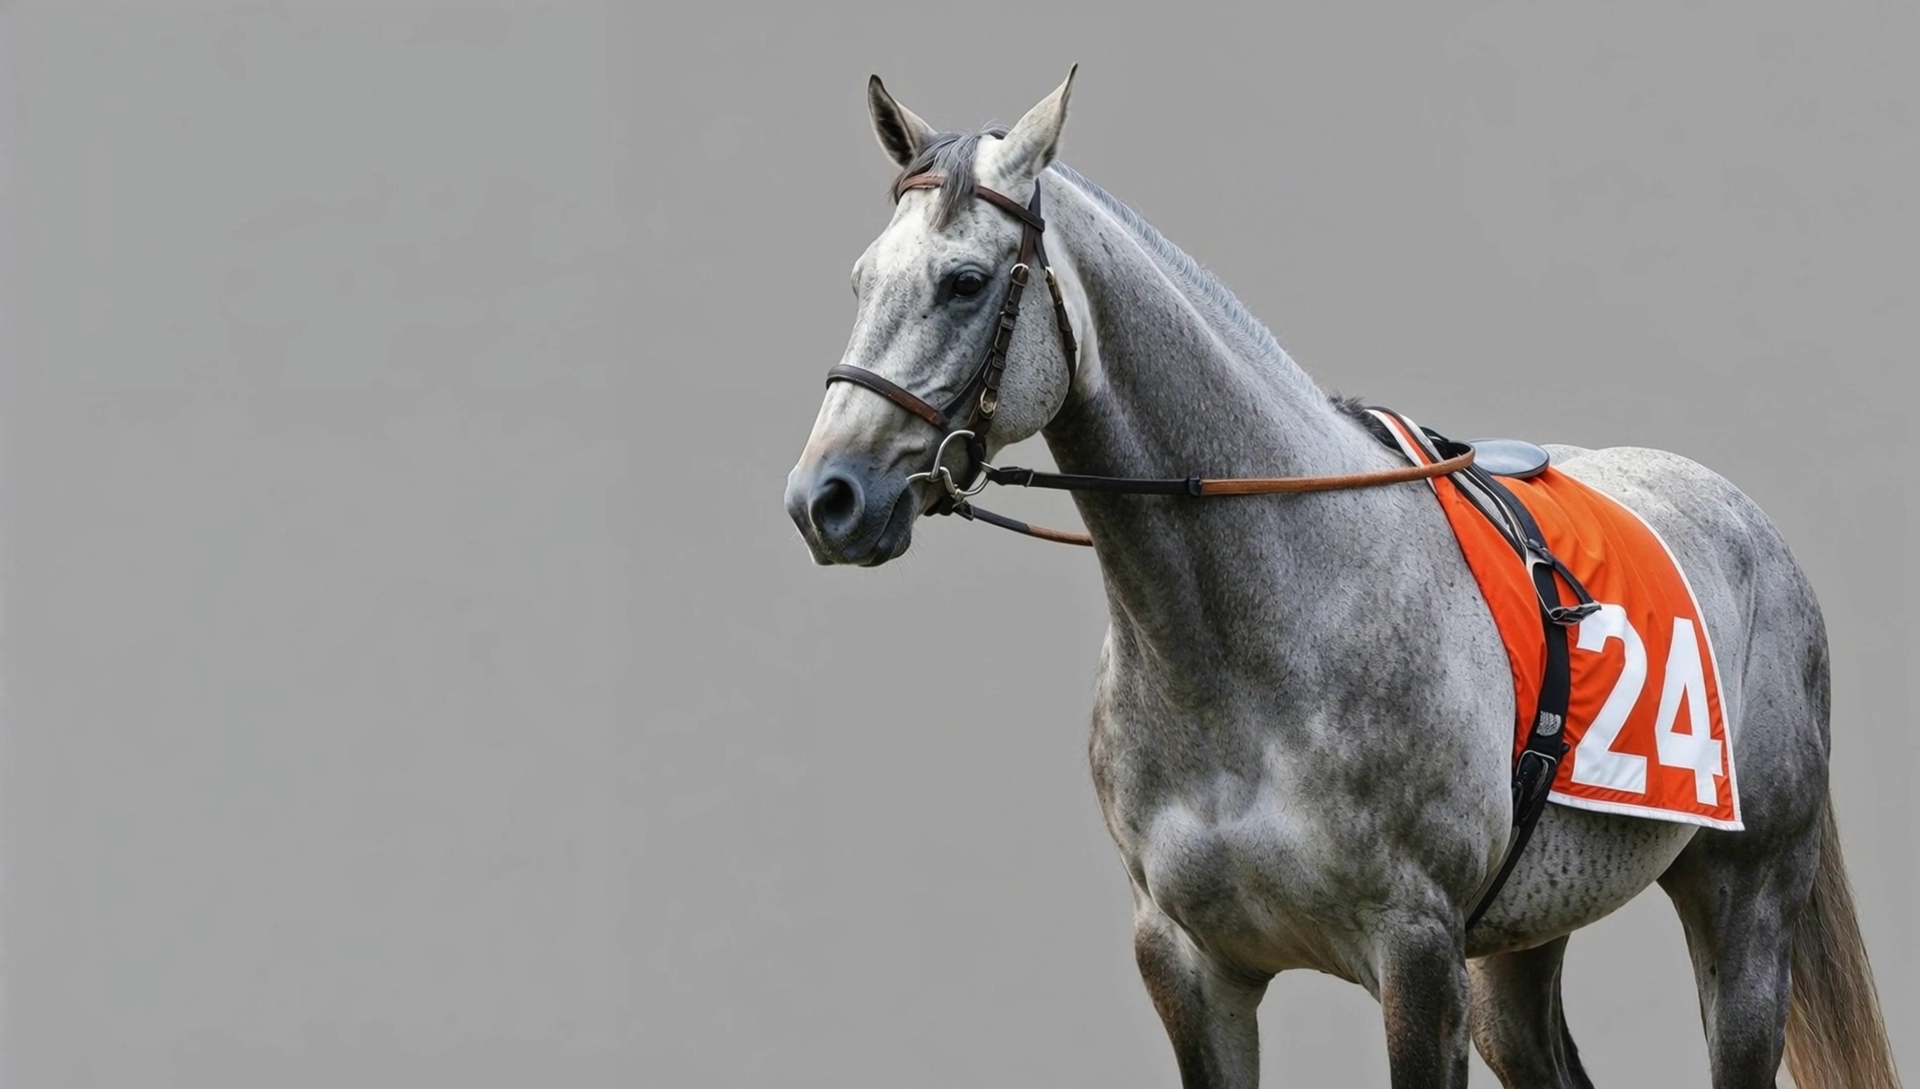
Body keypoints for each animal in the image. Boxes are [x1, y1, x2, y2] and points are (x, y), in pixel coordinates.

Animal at [781, 68, 1900, 1089]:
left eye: (966, 281)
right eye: (861, 278)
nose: (825, 497)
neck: (1254, 641)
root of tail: (1748, 522)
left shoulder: (1417, 957)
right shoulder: (1190, 963)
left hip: (1746, 903)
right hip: (1526, 938)